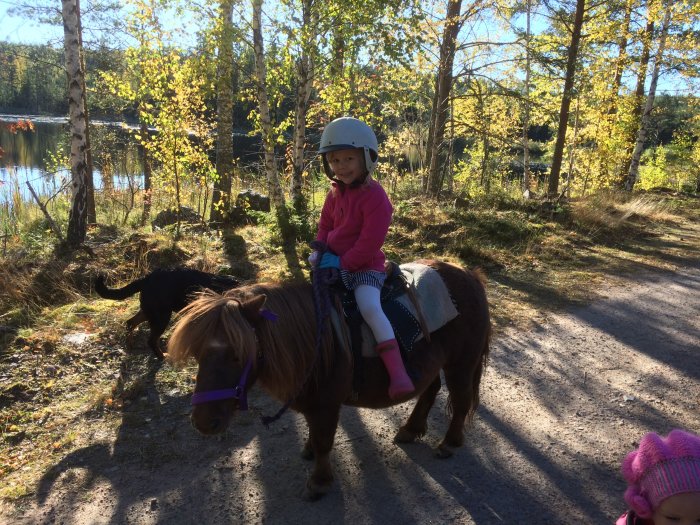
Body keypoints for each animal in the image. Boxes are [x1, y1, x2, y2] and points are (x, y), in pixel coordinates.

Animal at [95, 268, 241, 358]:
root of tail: (147, 278)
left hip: (151, 310)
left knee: (130, 322)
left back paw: (129, 344)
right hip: (161, 316)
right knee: (151, 340)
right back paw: (162, 356)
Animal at [167, 260, 490, 500]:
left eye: (237, 354)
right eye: (197, 353)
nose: (203, 422)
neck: (315, 339)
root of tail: (469, 276)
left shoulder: (327, 405)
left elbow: (324, 441)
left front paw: (319, 482)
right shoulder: (312, 402)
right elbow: (314, 434)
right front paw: (309, 451)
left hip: (461, 364)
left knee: (461, 400)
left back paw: (449, 443)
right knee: (430, 389)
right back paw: (411, 430)